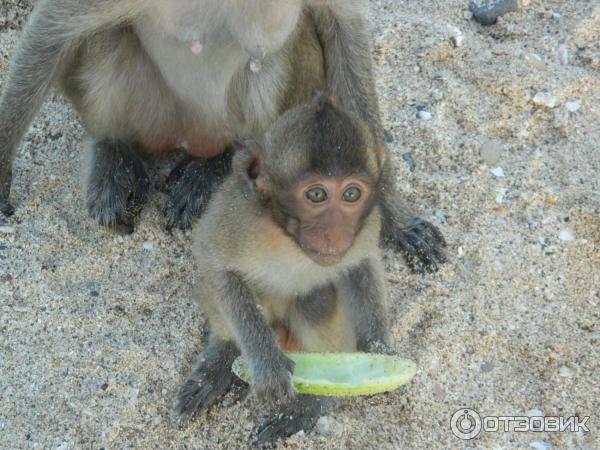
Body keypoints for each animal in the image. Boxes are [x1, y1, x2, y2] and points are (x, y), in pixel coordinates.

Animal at [0, 0, 446, 268]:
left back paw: (219, 164)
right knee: (109, 38)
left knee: (268, 58)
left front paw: (394, 214)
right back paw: (118, 151)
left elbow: (343, 27)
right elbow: (56, 26)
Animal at [176, 95, 392, 446]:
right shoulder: (239, 216)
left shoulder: (367, 222)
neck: (288, 238)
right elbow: (216, 265)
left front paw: (379, 350)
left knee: (315, 300)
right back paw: (224, 355)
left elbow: (363, 264)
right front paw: (267, 366)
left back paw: (312, 403)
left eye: (351, 194)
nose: (334, 232)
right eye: (316, 194)